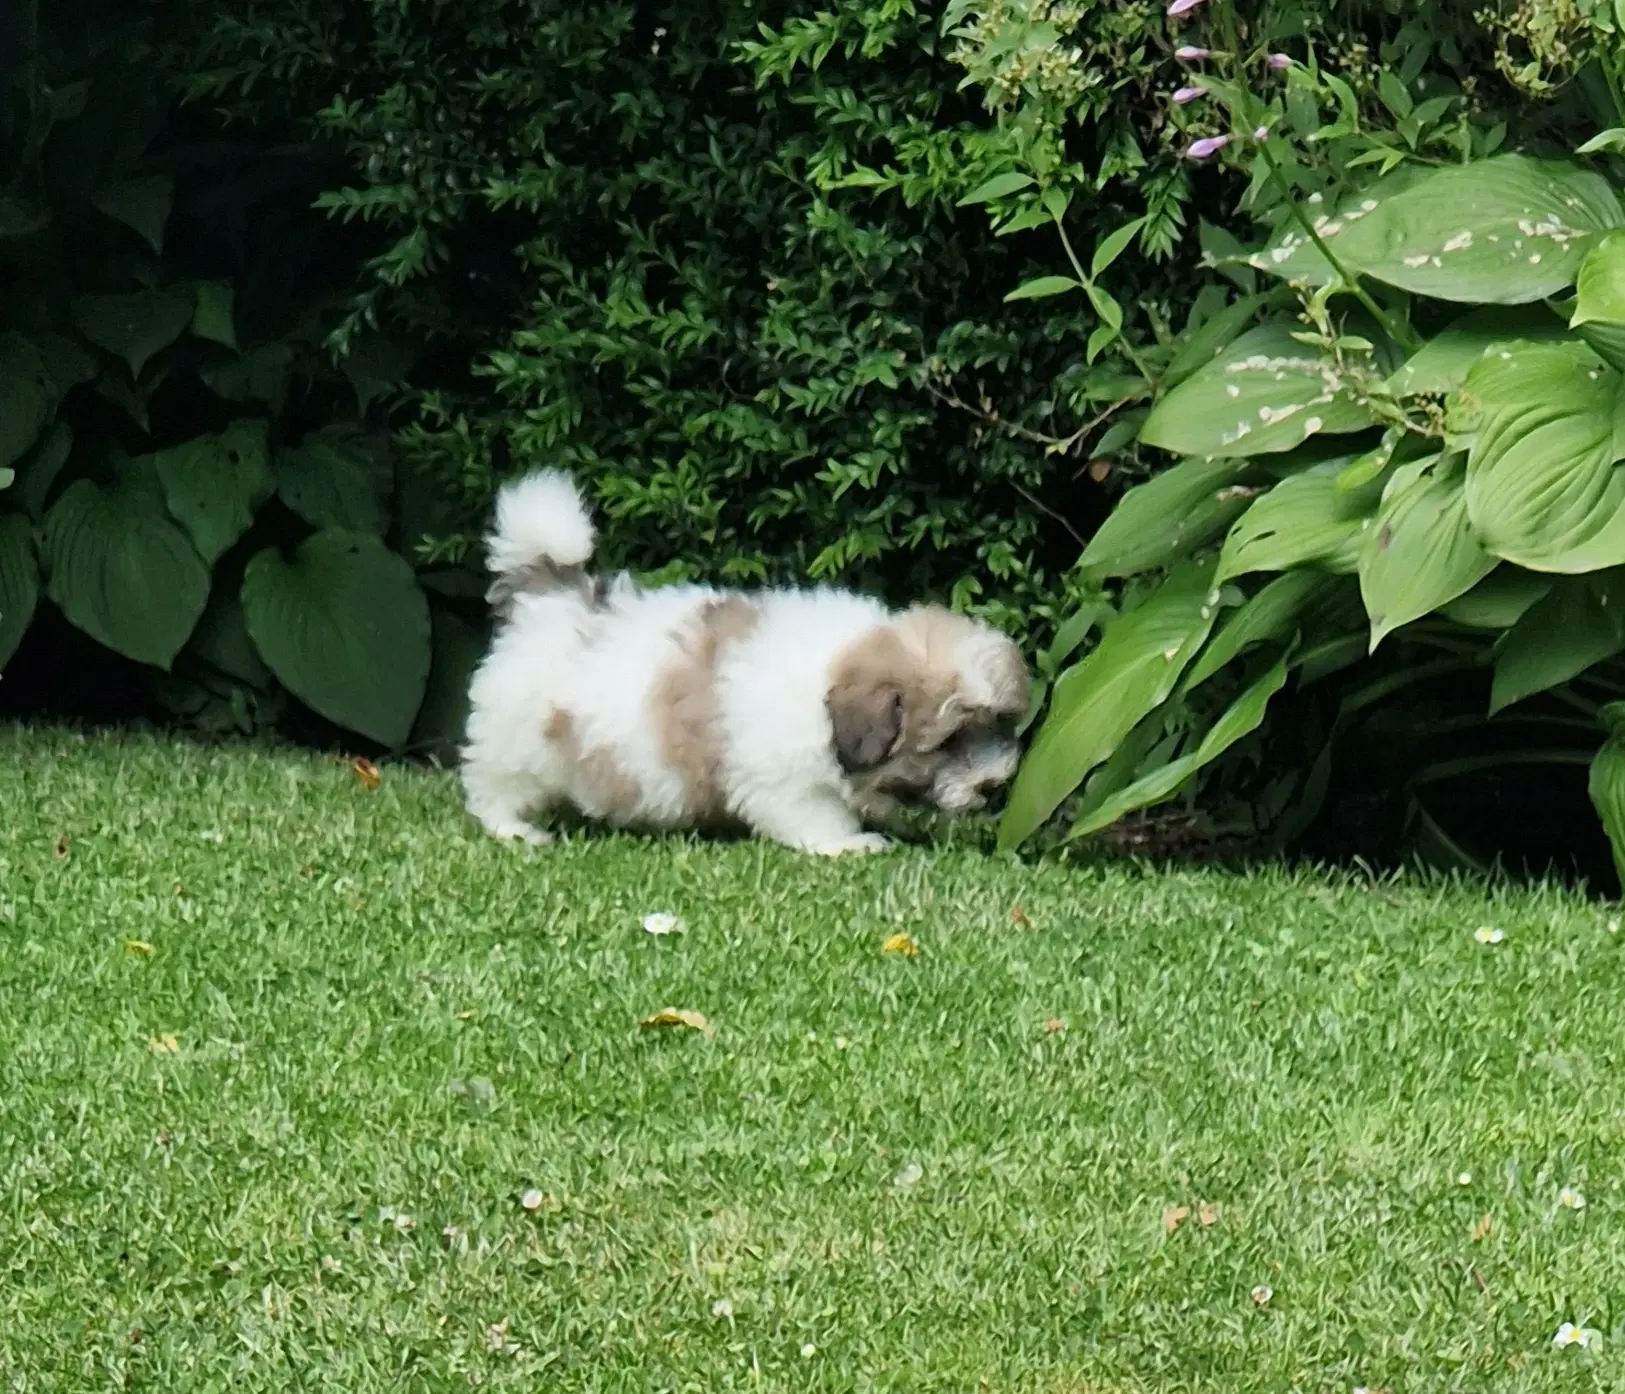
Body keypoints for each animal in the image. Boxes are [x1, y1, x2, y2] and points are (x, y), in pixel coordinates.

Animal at [458, 471, 1027, 851]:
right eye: (949, 741)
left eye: (1000, 724)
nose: (995, 785)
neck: (826, 687)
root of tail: (553, 600)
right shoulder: (780, 776)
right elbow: (813, 813)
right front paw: (850, 844)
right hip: (518, 742)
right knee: (492, 784)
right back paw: (513, 828)